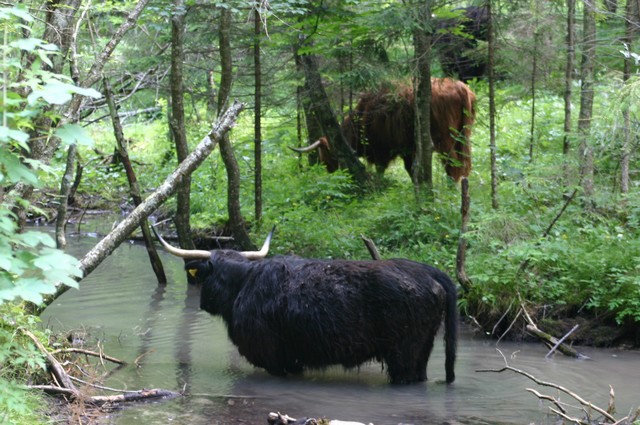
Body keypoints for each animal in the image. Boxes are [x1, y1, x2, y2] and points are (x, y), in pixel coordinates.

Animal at [154, 229, 456, 384]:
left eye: (209, 276)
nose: (203, 302)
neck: (242, 284)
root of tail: (428, 271)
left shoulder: (273, 357)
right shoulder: (292, 359)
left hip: (403, 354)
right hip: (422, 350)